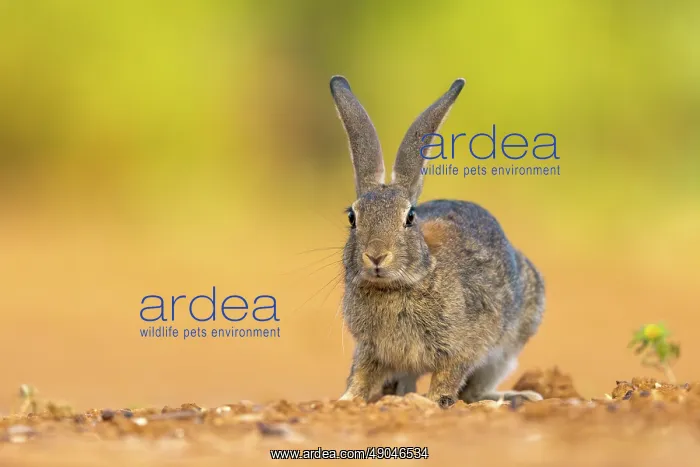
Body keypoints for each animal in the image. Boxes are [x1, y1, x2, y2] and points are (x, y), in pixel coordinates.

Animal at [329, 76, 545, 408]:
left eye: (410, 217)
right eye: (353, 217)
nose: (376, 256)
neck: (398, 286)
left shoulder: (463, 345)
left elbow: (448, 377)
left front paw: (431, 402)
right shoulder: (370, 350)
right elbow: (361, 375)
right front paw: (347, 399)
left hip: (507, 348)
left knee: (475, 390)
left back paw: (517, 396)